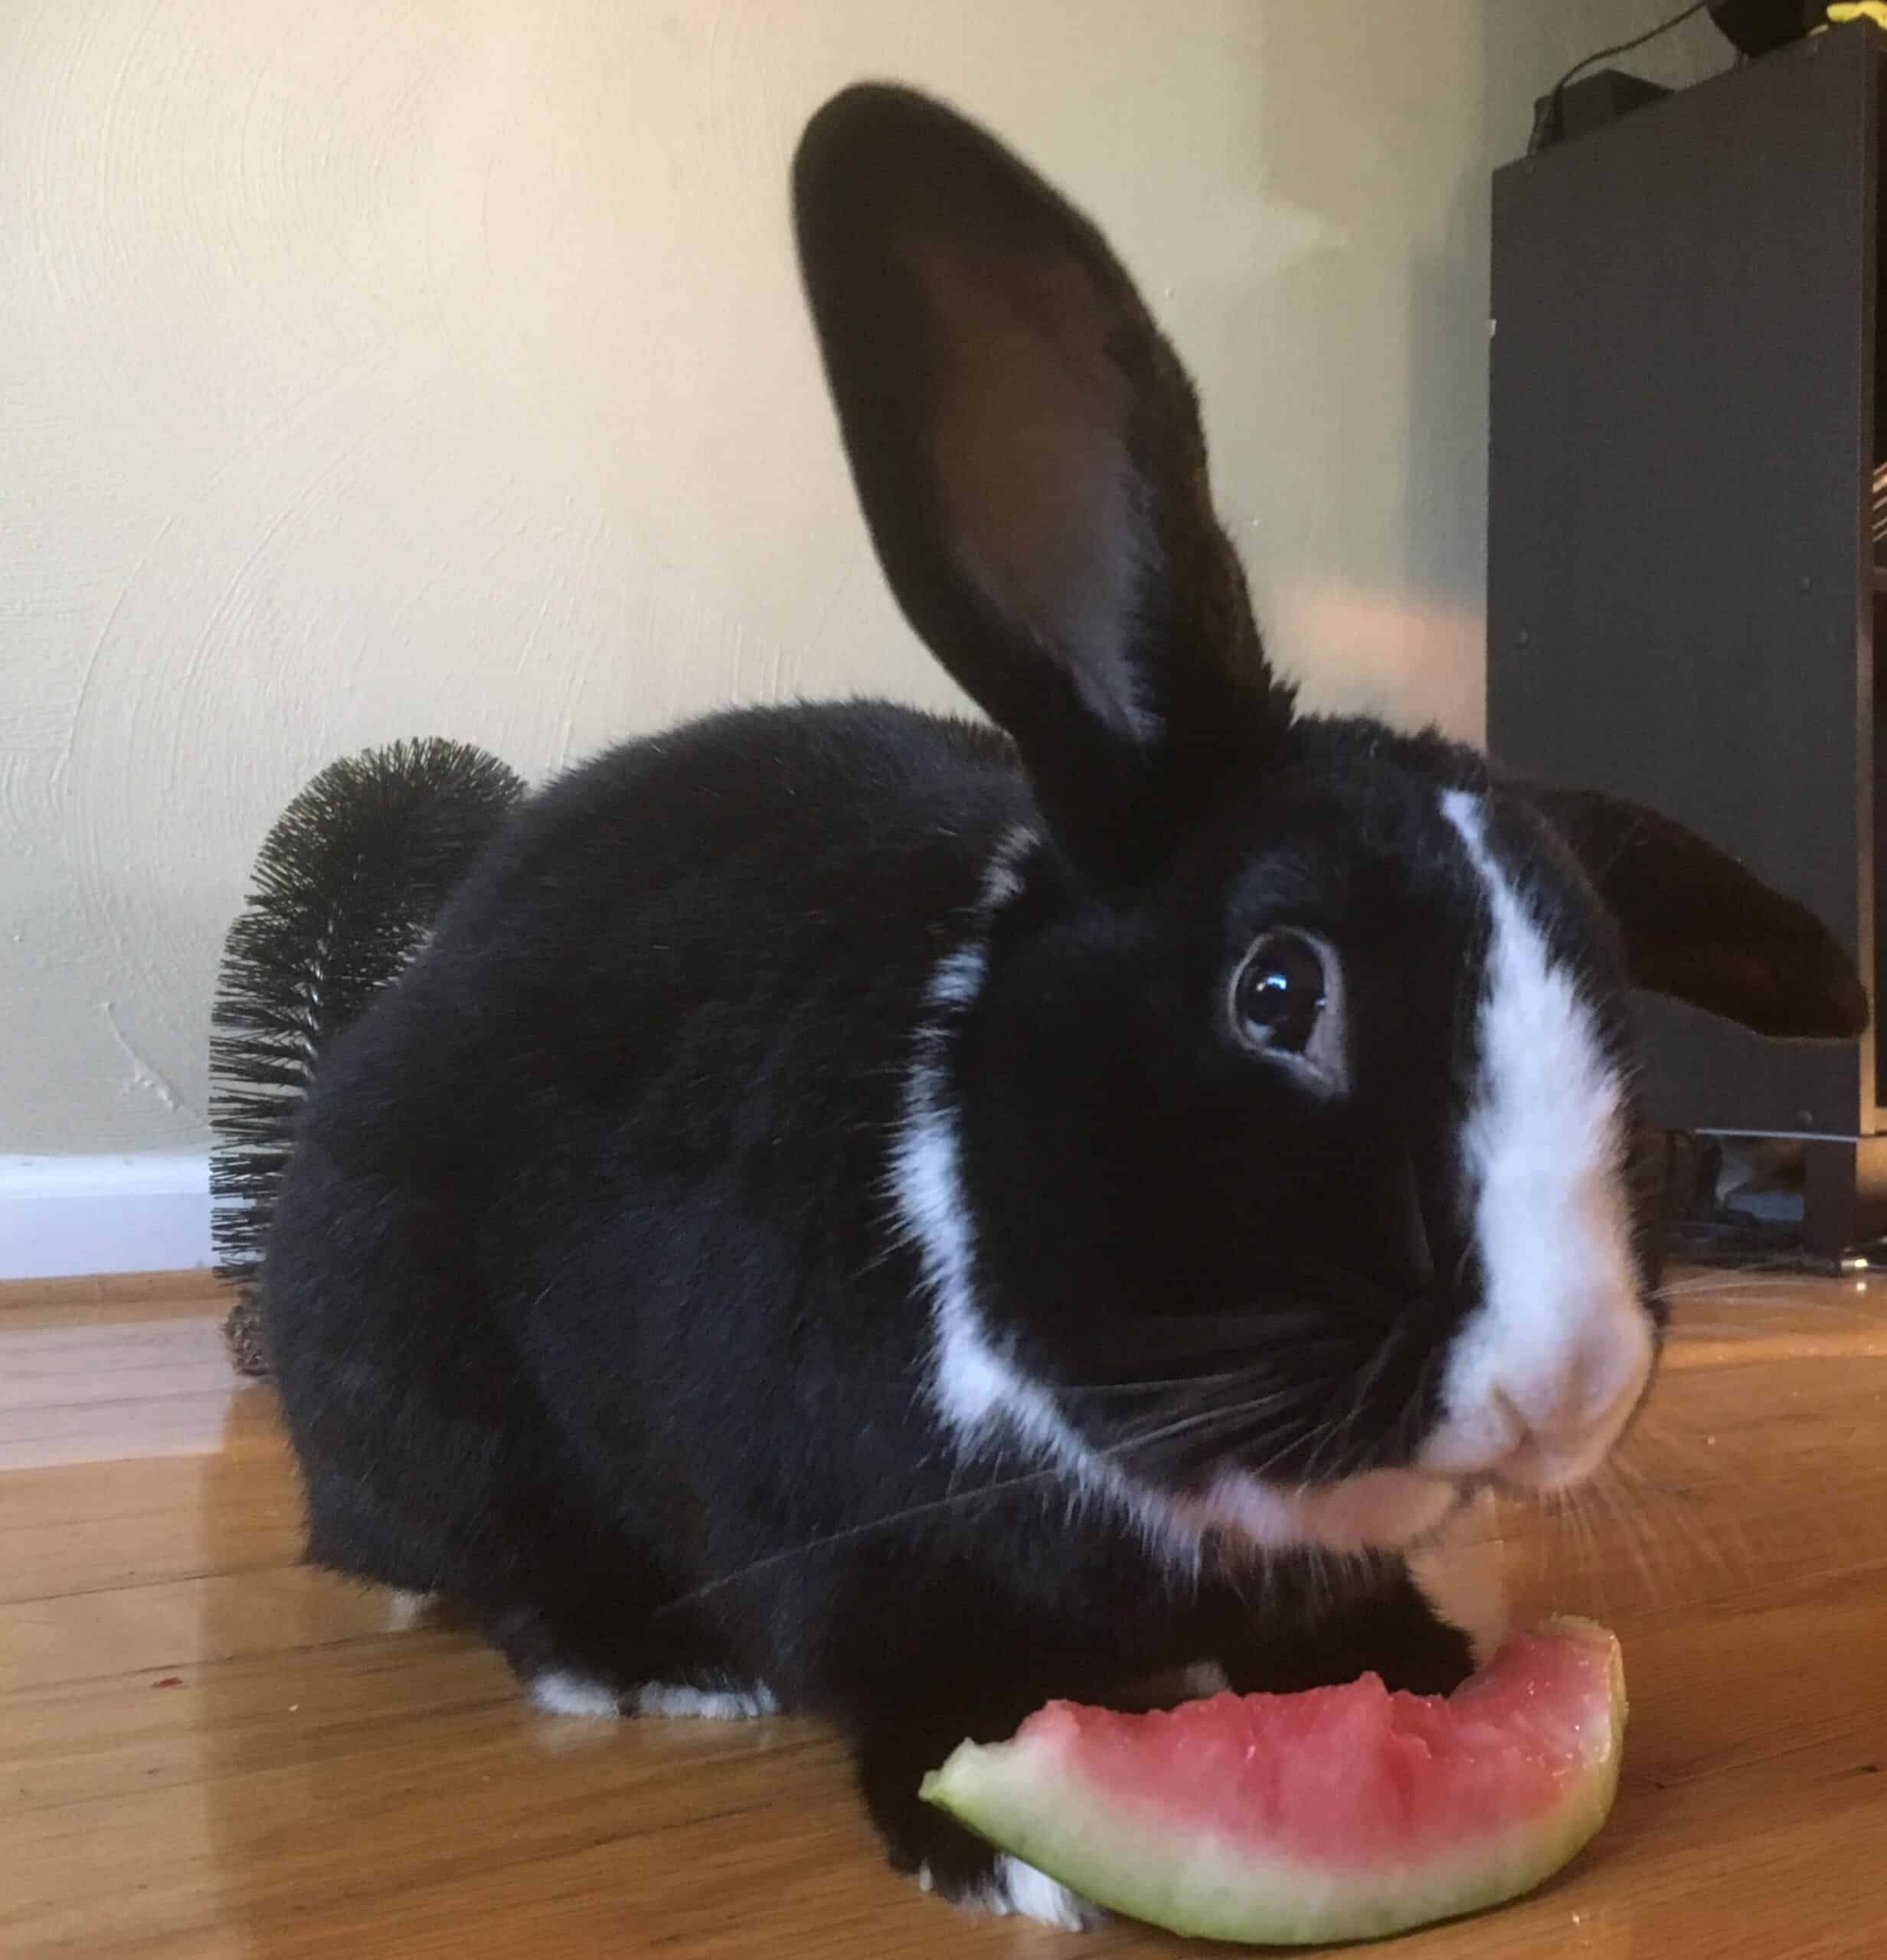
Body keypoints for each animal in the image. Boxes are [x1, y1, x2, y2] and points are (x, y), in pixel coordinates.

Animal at [257, 82, 1867, 1928]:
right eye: (1275, 989)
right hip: (425, 1381)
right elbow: (910, 1682)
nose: (1570, 1379)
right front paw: (994, 1844)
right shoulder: (841, 1541)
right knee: (505, 1571)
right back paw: (651, 1659)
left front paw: (1426, 1675)